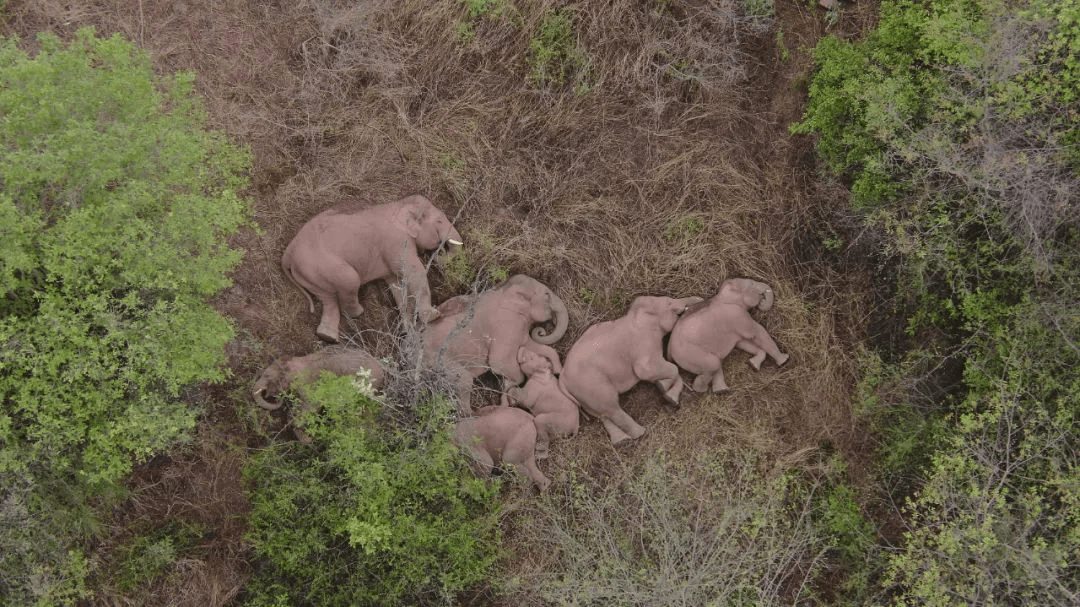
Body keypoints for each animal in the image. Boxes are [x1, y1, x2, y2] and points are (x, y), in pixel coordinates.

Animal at [280, 196, 462, 343]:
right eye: (439, 222)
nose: (439, 253)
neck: (399, 204)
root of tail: (288, 253)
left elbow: (397, 283)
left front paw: (407, 331)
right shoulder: (396, 241)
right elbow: (413, 271)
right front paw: (433, 316)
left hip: (310, 274)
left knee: (328, 299)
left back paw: (327, 337)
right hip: (321, 265)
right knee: (350, 280)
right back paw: (357, 313)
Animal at [423, 273, 570, 410]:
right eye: (547, 294)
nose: (541, 331)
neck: (504, 289)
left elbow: (532, 345)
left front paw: (557, 370)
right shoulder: (506, 324)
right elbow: (499, 362)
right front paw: (509, 397)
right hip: (440, 360)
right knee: (465, 380)